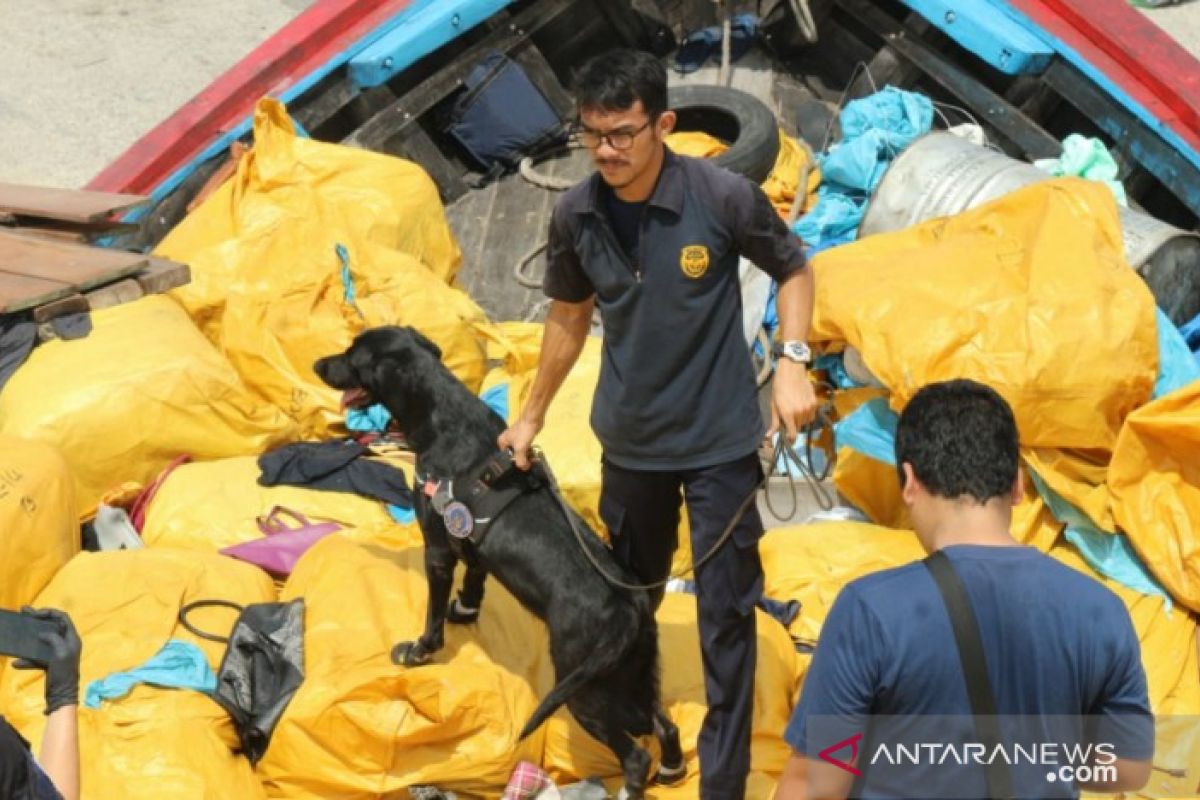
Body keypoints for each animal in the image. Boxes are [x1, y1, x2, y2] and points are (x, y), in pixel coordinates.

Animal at [314, 326, 681, 800]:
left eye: (352, 355)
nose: (317, 365)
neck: (442, 417)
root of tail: (632, 606)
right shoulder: (472, 546)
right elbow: (474, 584)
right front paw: (464, 611)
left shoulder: (437, 549)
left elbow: (432, 617)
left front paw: (419, 651)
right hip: (629, 677)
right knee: (665, 726)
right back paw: (671, 769)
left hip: (583, 689)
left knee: (635, 755)